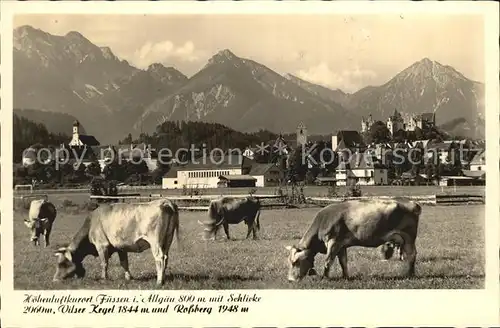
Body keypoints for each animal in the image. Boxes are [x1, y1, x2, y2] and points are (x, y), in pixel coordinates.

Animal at [52, 197, 181, 284]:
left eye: (62, 263)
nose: (54, 279)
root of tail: (164, 201)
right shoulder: (121, 247)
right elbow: (124, 263)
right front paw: (129, 278)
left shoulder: (101, 245)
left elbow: (104, 263)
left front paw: (104, 278)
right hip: (167, 240)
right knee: (166, 257)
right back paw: (163, 278)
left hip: (155, 242)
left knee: (159, 258)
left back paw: (159, 281)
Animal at [284, 199, 420, 284]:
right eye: (289, 262)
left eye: (296, 262)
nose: (290, 280)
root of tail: (412, 202)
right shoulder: (341, 245)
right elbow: (343, 262)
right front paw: (346, 277)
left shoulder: (333, 242)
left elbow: (328, 261)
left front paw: (325, 277)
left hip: (408, 237)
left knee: (411, 255)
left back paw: (410, 274)